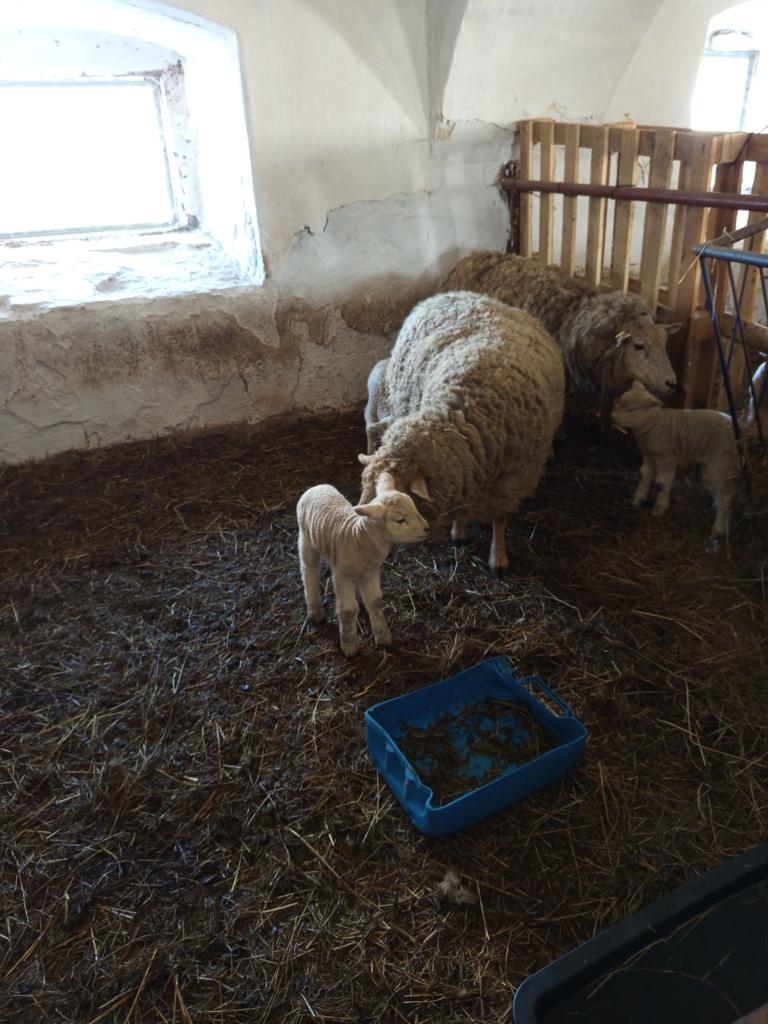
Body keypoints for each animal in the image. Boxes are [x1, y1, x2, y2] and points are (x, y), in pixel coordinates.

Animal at [296, 481, 428, 657]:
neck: (357, 538)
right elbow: (348, 610)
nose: (426, 528)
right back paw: (315, 611)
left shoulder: (370, 574)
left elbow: (375, 601)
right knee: (308, 571)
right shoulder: (342, 577)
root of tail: (316, 487)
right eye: (400, 520)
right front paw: (349, 647)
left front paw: (383, 636)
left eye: (415, 508)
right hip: (306, 539)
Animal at [610, 381, 741, 537]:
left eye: (631, 410)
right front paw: (636, 500)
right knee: (731, 491)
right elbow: (644, 475)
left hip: (721, 463)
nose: (611, 417)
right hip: (728, 465)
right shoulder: (649, 457)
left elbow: (661, 483)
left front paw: (659, 509)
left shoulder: (667, 459)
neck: (655, 425)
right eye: (619, 403)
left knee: (726, 494)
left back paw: (720, 529)